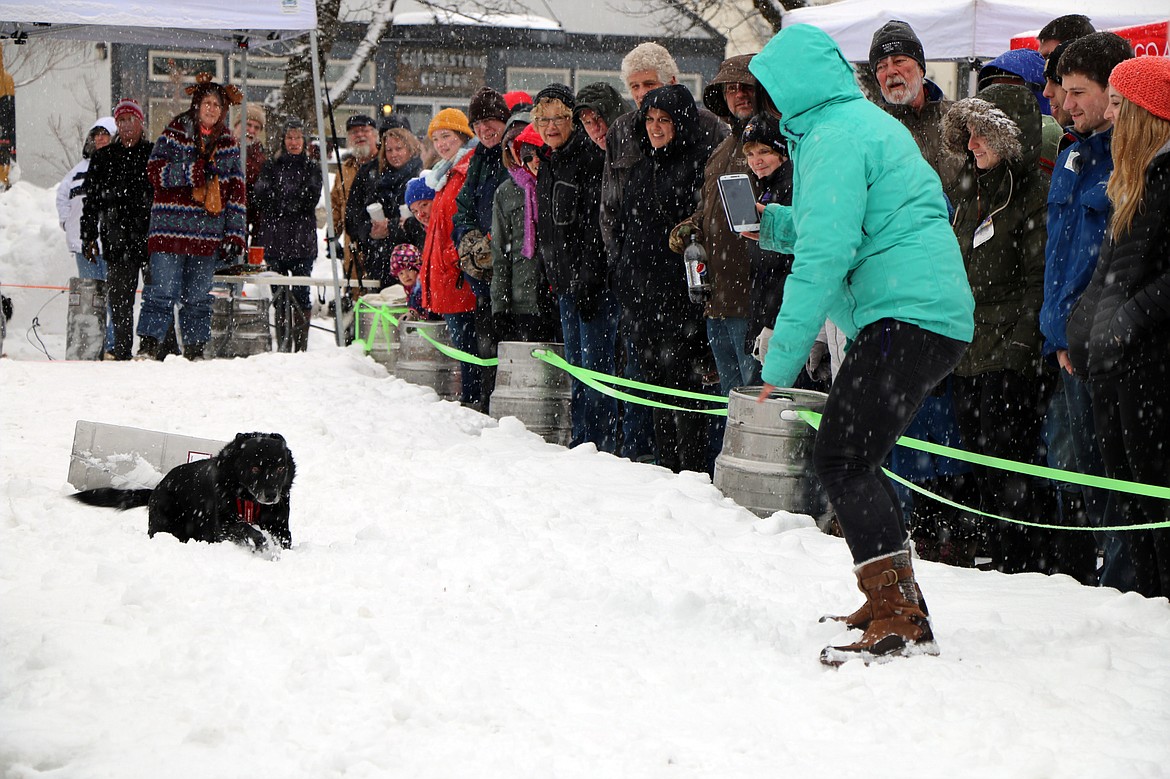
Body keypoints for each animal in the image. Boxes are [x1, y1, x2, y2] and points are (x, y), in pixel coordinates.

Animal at [71, 430, 297, 552]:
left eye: (280, 468)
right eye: (255, 468)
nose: (271, 495)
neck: (249, 499)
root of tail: (157, 488)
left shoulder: (279, 526)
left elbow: (283, 539)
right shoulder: (224, 525)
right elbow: (246, 528)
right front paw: (261, 543)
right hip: (165, 525)